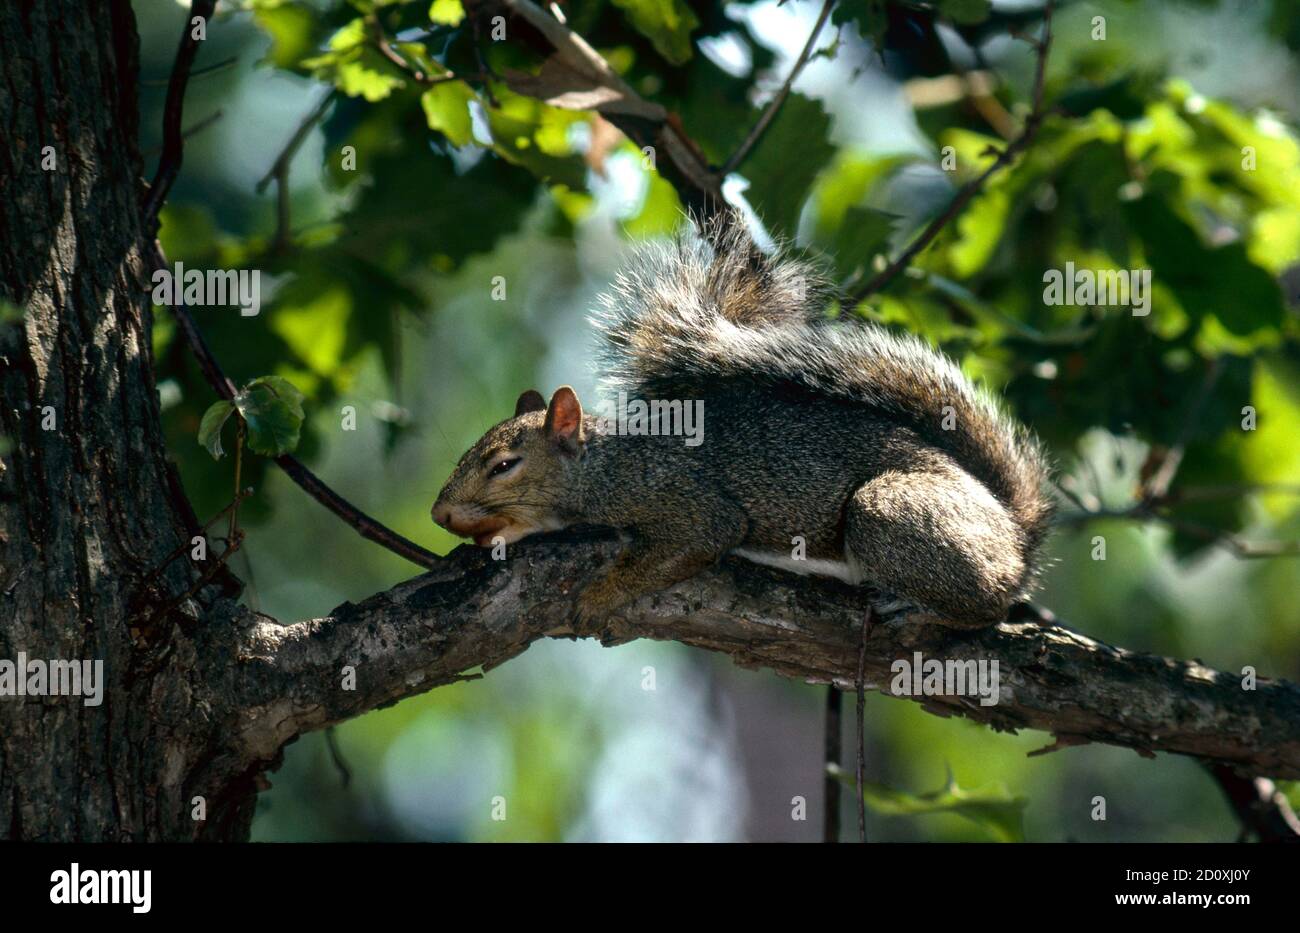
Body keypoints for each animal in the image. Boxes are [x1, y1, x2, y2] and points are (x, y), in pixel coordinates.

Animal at [432, 216, 1053, 628]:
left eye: (504, 465)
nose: (439, 514)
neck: (603, 463)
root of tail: (1015, 533)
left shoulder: (678, 497)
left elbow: (700, 536)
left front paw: (599, 597)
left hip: (894, 512)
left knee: (986, 602)